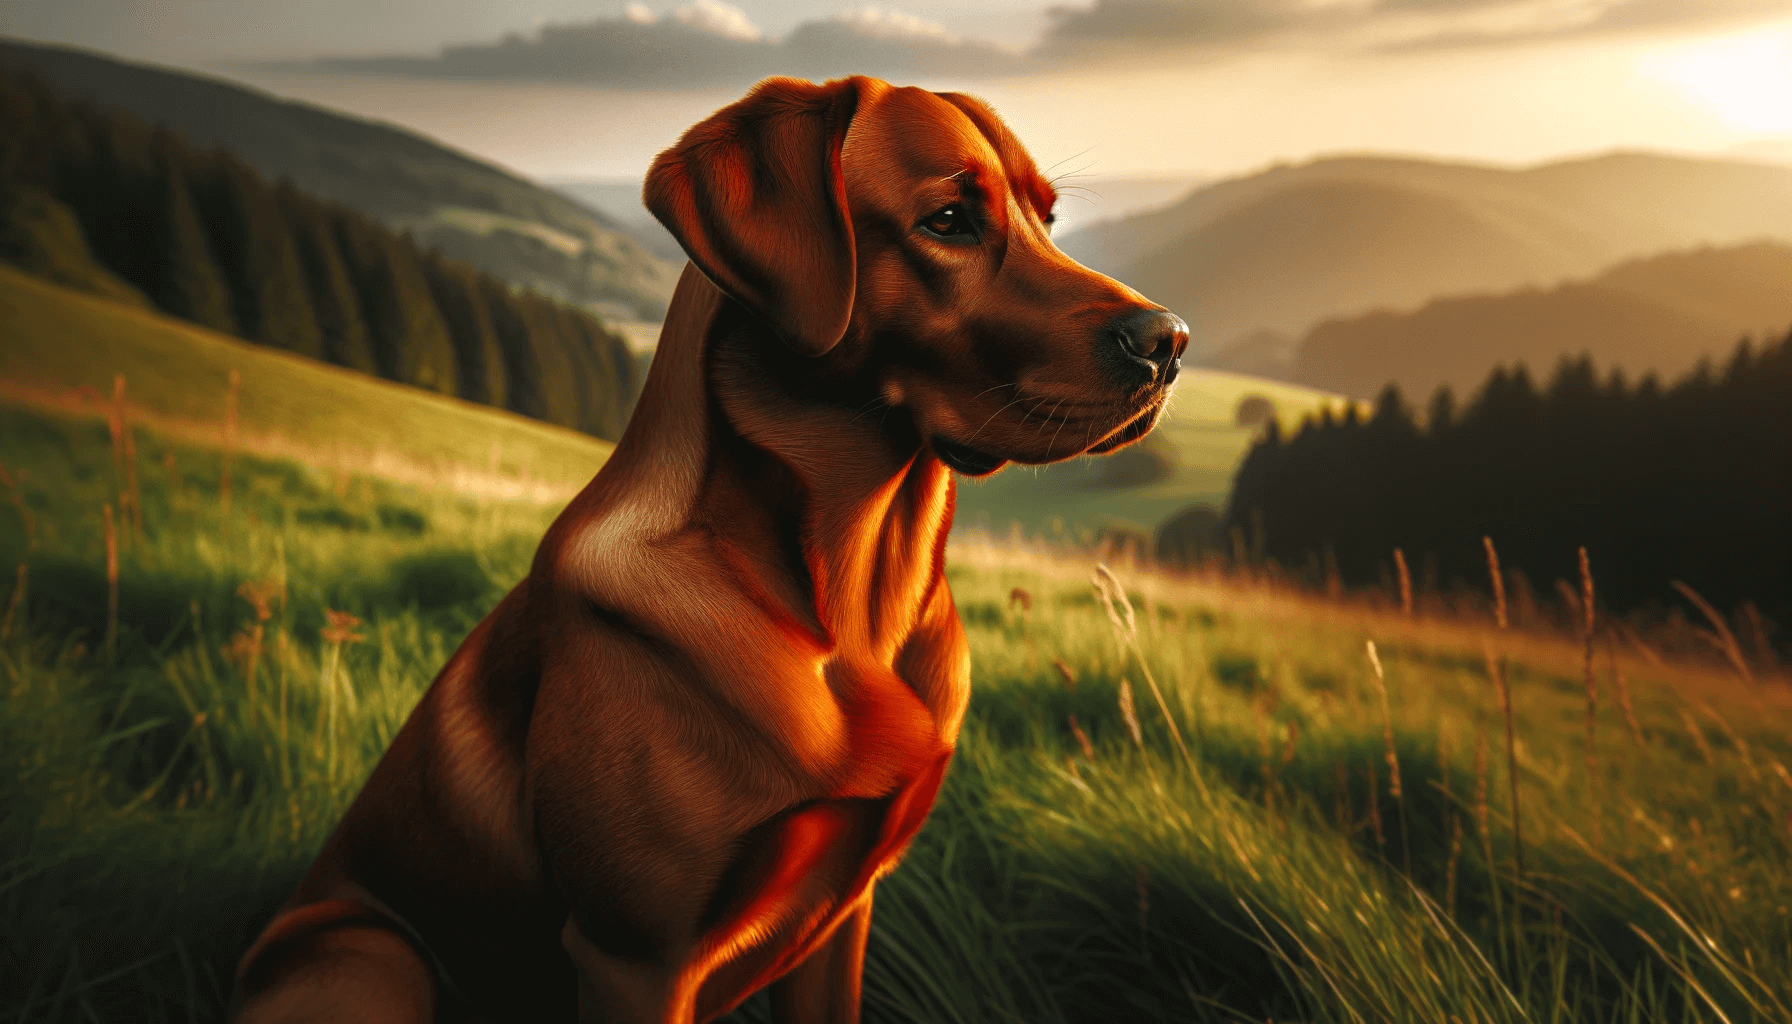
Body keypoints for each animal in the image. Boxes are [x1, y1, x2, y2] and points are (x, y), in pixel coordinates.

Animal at [234, 73, 1189, 1024]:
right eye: (948, 220)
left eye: (1047, 218)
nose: (1169, 342)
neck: (855, 607)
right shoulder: (635, 957)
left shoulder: (844, 912)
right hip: (375, 955)